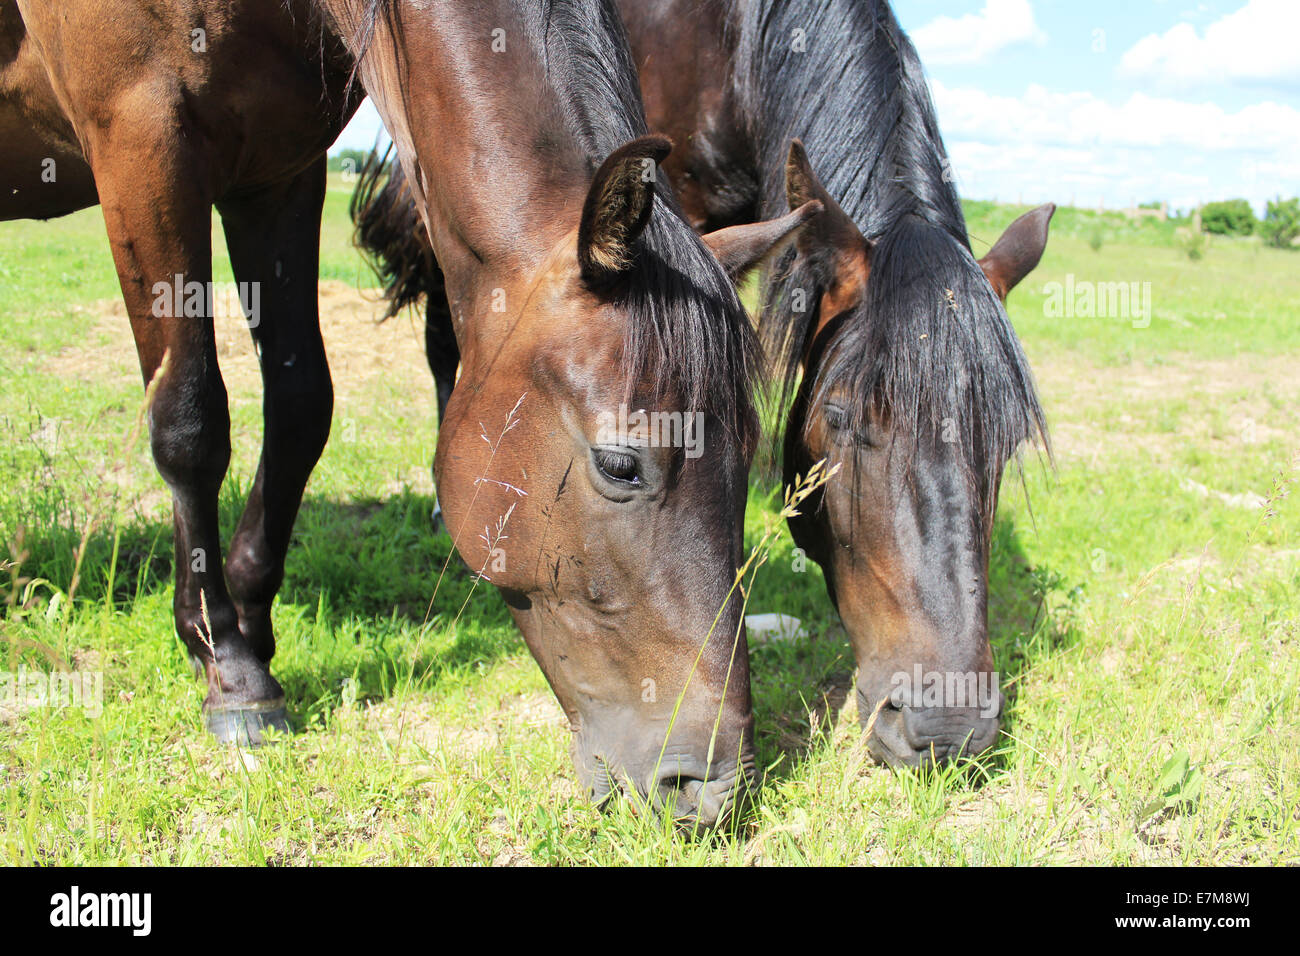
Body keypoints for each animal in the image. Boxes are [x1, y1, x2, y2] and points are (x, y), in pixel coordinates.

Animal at [1, 0, 816, 825]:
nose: (713, 790)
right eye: (620, 464)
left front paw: (255, 629)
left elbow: (302, 408)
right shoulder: (141, 136)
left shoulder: (278, 168)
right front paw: (231, 671)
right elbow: (189, 420)